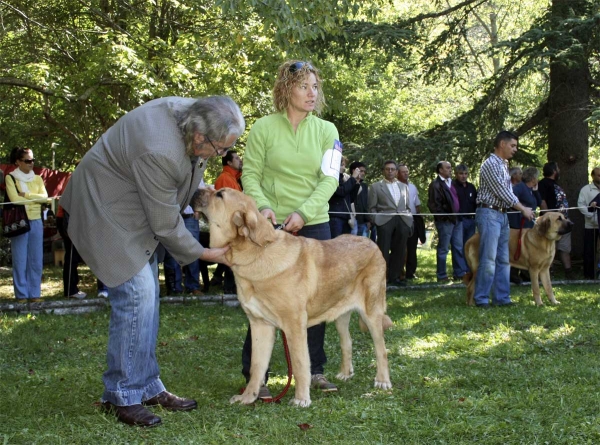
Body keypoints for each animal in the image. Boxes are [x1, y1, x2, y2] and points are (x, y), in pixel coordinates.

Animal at [195, 186, 394, 406]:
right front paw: (248, 397)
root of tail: (371, 242)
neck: (257, 252)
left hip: (372, 313)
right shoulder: (260, 325)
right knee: (347, 341)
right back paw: (345, 373)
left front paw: (301, 399)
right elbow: (257, 366)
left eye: (220, 194)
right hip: (340, 314)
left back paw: (383, 381)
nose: (196, 191)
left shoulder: (294, 325)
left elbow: (299, 364)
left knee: (381, 349)